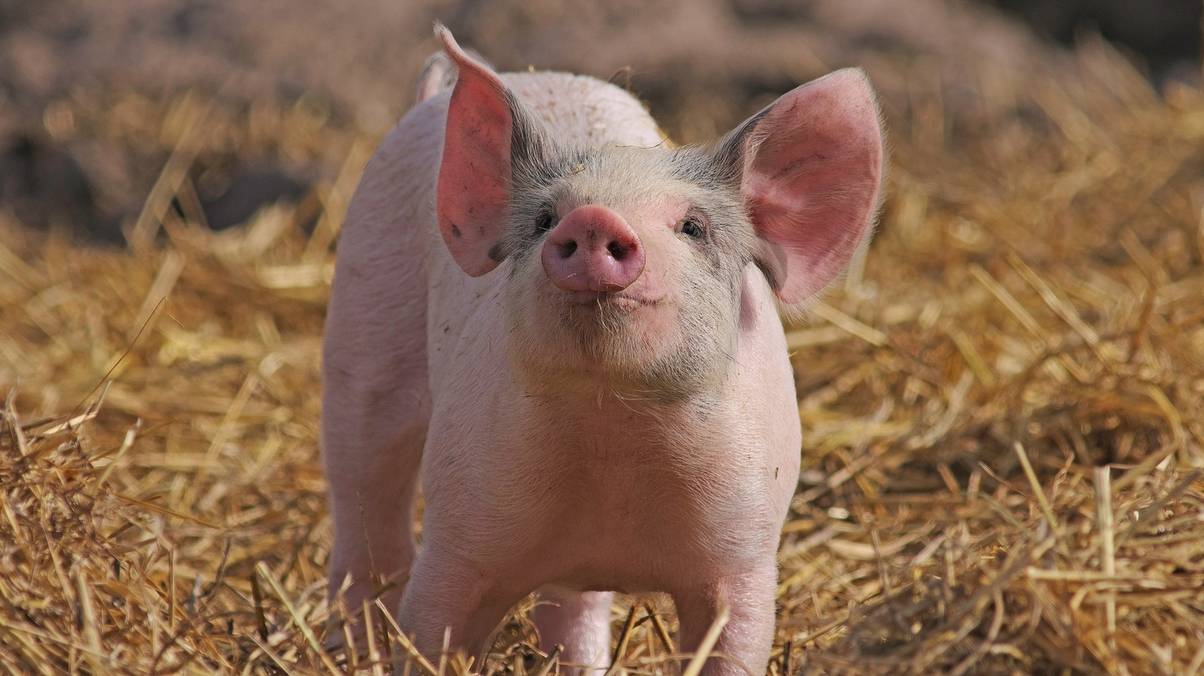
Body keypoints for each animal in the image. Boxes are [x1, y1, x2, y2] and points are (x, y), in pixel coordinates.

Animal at [321, 24, 884, 675]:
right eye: (543, 219)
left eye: (693, 227)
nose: (593, 218)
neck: (612, 436)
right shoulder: (460, 536)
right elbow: (429, 630)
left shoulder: (744, 554)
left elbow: (731, 642)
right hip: (363, 329)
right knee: (365, 506)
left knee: (572, 606)